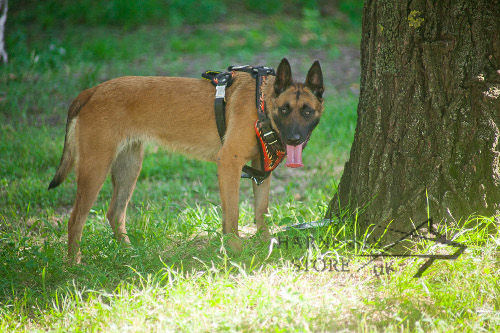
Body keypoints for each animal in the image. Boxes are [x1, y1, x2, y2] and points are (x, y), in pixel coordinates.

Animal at [49, 59, 324, 262]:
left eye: (307, 111)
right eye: (285, 109)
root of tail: (92, 91)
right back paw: (74, 264)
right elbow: (233, 216)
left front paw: (264, 243)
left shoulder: (260, 171)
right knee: (75, 220)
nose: (295, 139)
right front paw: (235, 250)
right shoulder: (229, 164)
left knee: (115, 213)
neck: (262, 104)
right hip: (95, 169)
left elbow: (261, 211)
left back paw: (129, 253)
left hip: (129, 167)